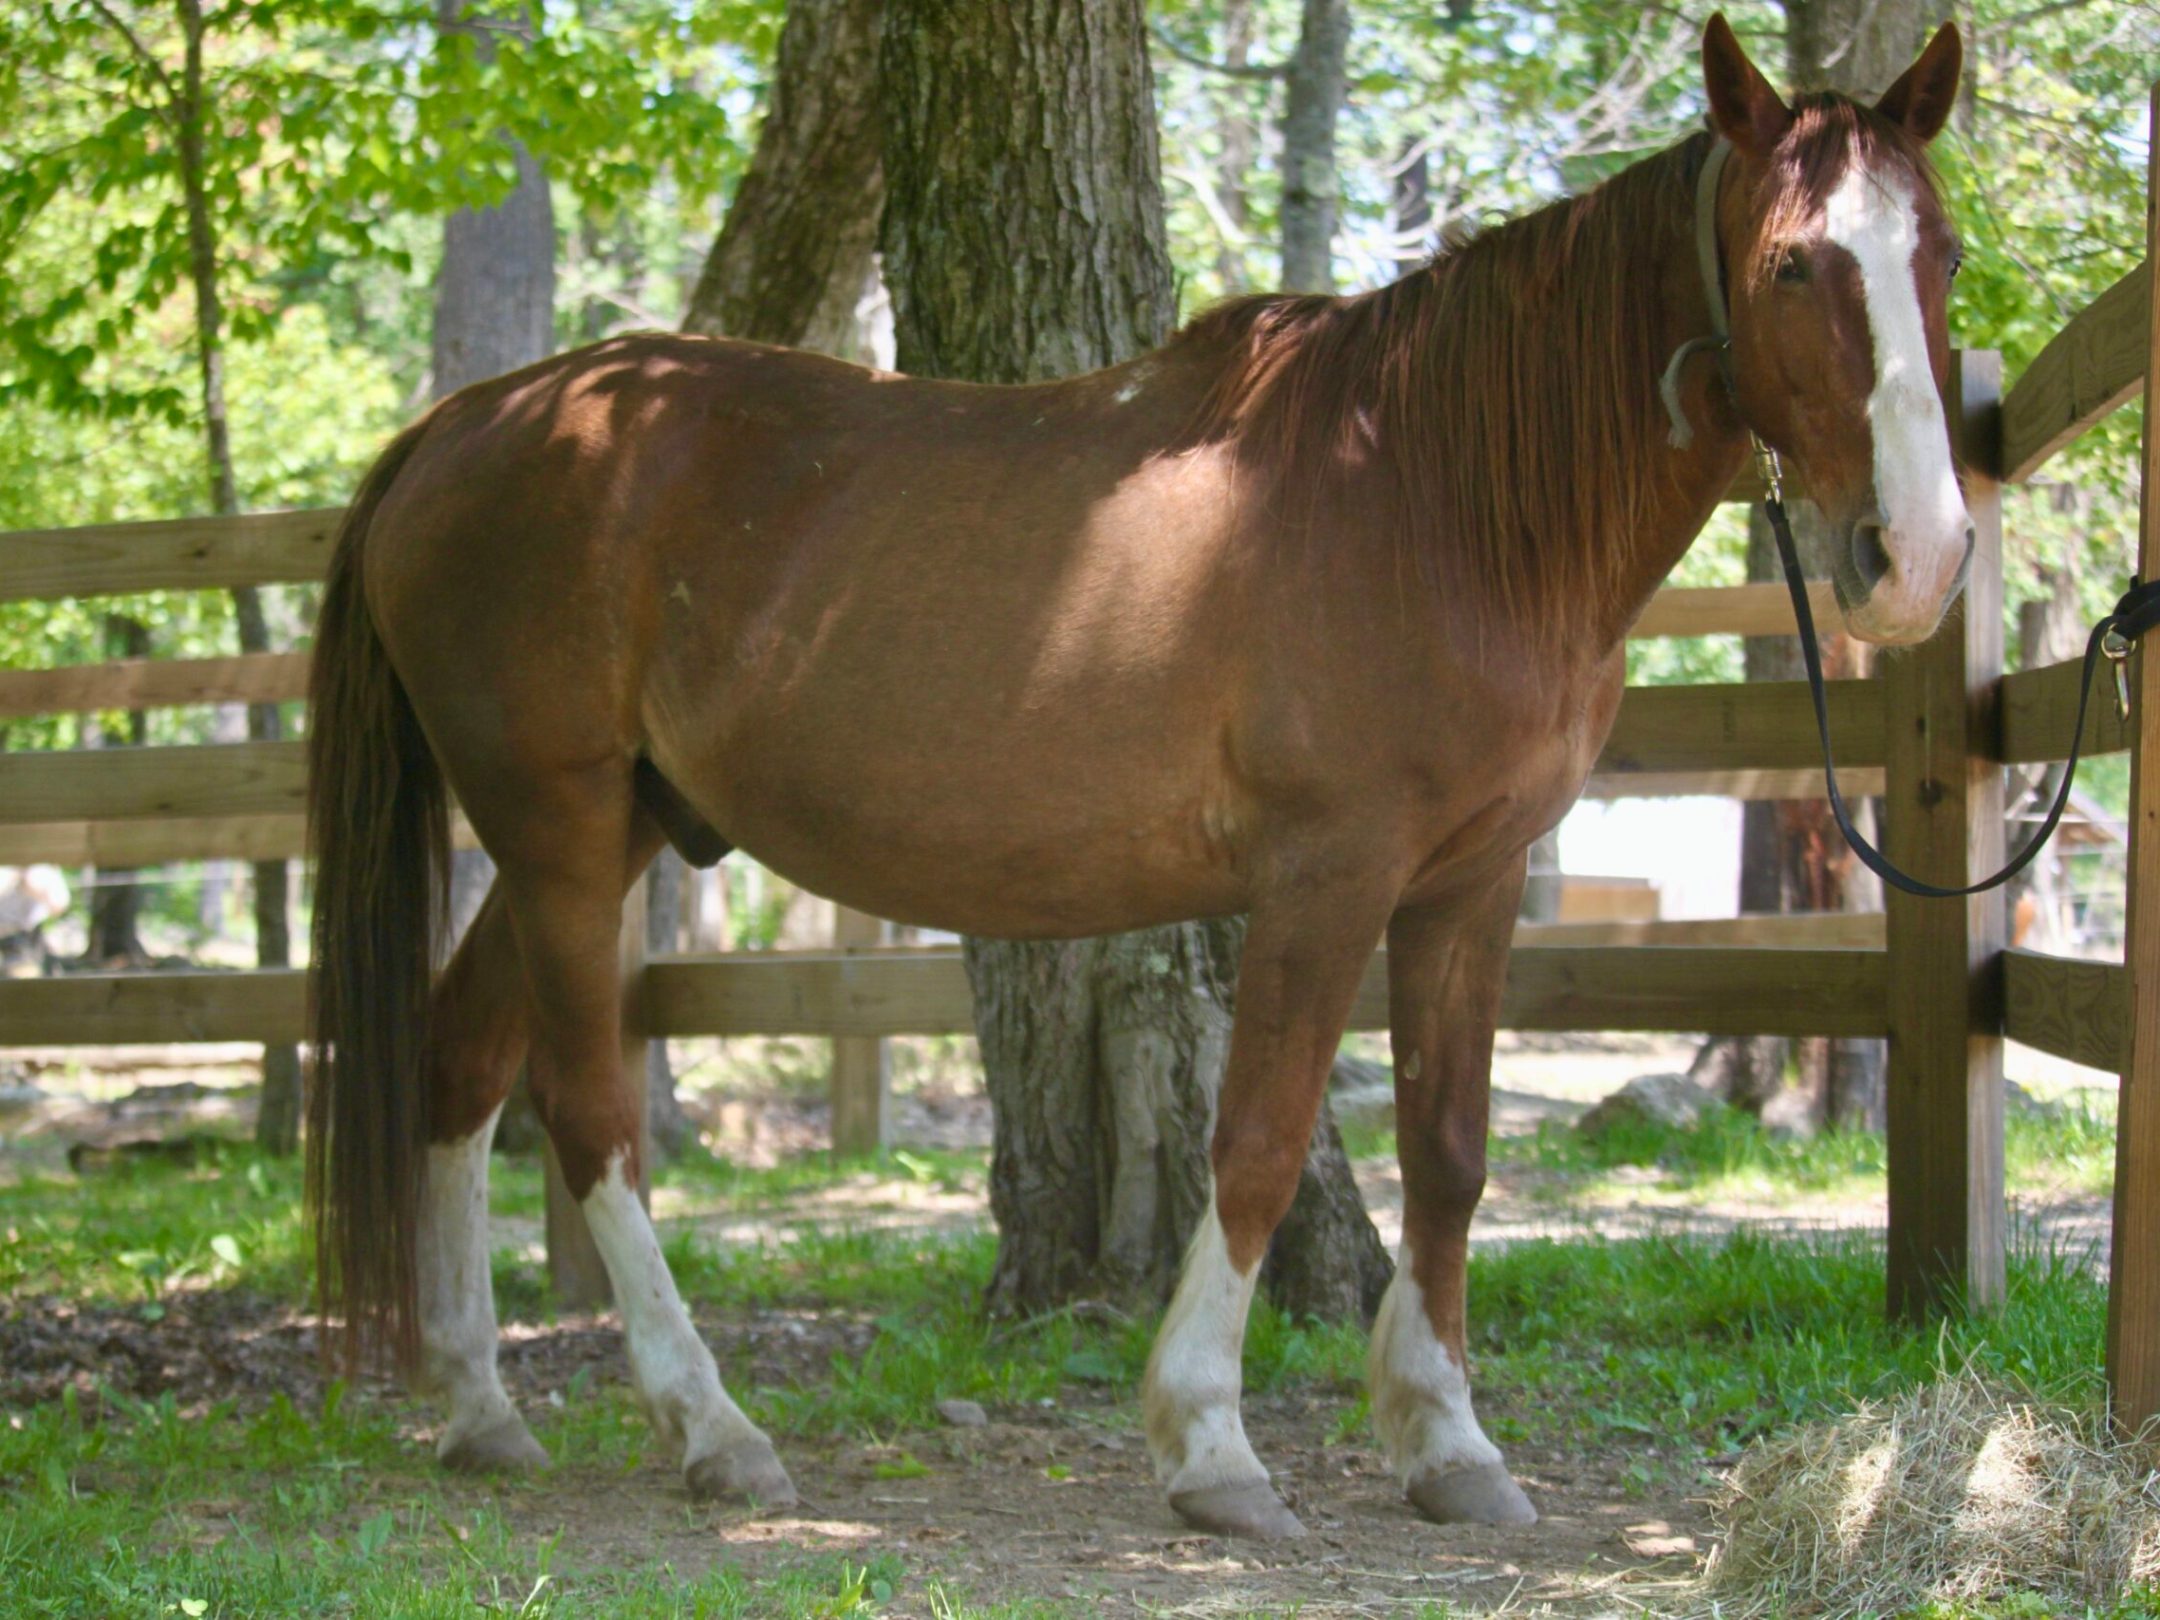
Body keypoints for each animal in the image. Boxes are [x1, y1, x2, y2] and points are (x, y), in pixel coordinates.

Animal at [305, 15, 1971, 1540]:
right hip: (563, 825)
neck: (1430, 496)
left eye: (1942, 256)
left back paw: (481, 1409)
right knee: (585, 1111)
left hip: (603, 830)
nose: (1918, 557)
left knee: (459, 1063)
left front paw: (1449, 1444)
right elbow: (1260, 1142)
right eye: (1793, 268)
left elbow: (1449, 1153)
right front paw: (1214, 1448)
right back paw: (711, 1429)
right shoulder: (1325, 879)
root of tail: (459, 429)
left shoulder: (1473, 882)